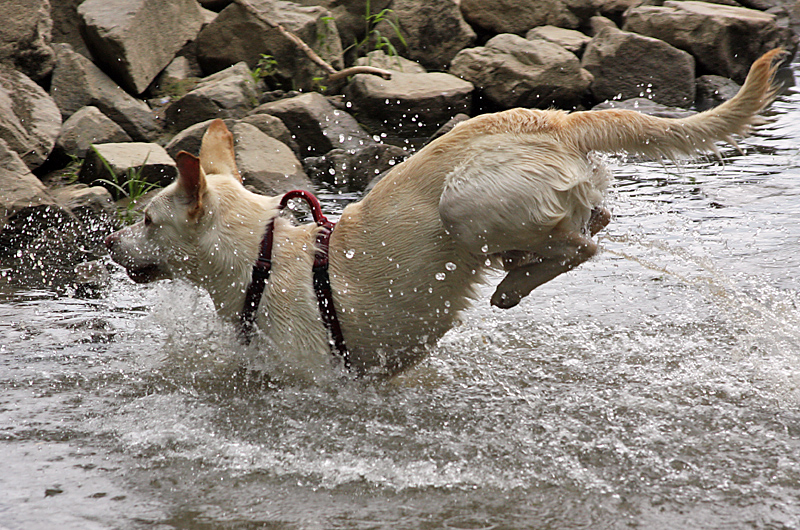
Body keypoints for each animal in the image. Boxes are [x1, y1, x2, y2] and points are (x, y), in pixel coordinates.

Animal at [104, 48, 780, 376]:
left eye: (148, 221)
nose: (110, 244)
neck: (261, 257)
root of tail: (560, 120)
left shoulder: (314, 377)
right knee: (596, 225)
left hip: (466, 203)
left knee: (581, 246)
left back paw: (512, 286)